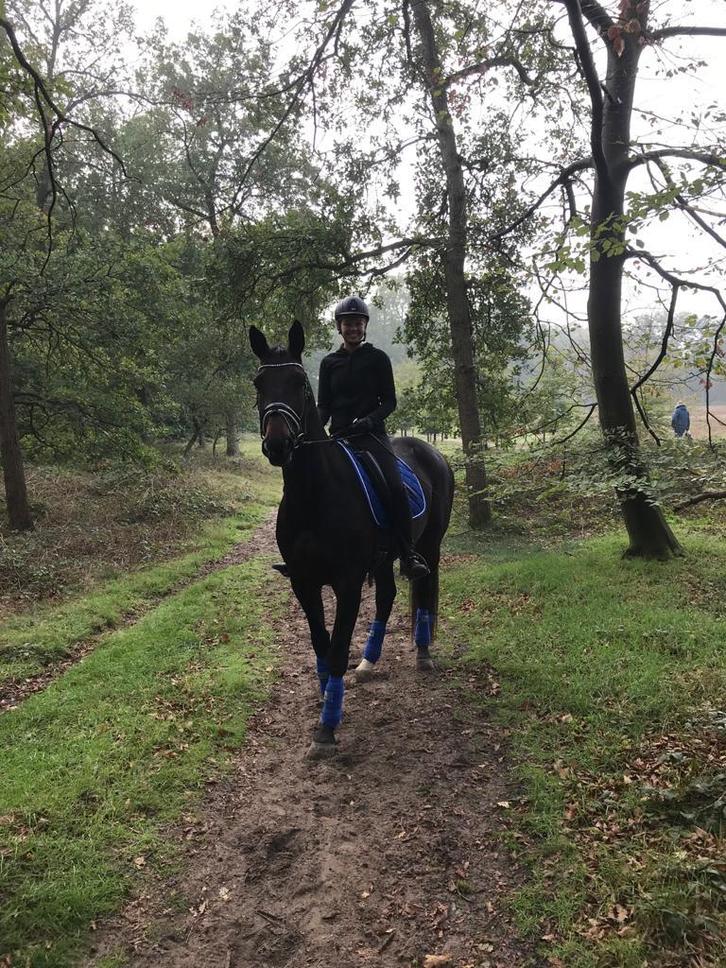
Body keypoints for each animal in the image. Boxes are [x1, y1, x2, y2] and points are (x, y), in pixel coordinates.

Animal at [249, 321, 454, 758]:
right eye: (259, 383)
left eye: (299, 383)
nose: (277, 445)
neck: (313, 494)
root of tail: (431, 452)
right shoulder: (304, 582)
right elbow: (321, 645)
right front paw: (327, 696)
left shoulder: (347, 582)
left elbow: (338, 648)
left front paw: (327, 729)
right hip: (385, 557)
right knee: (388, 596)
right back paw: (369, 663)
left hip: (429, 546)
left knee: (425, 586)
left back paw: (423, 652)